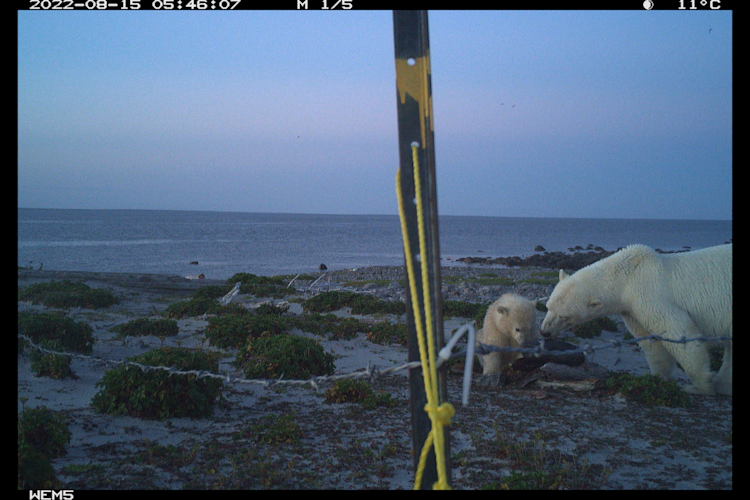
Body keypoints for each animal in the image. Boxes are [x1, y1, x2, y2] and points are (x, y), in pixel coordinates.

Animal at [540, 243, 732, 395]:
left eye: (564, 316)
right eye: (548, 306)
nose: (545, 332)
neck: (629, 275)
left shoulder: (651, 294)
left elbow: (679, 333)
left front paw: (701, 387)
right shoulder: (632, 309)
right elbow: (652, 342)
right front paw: (659, 377)